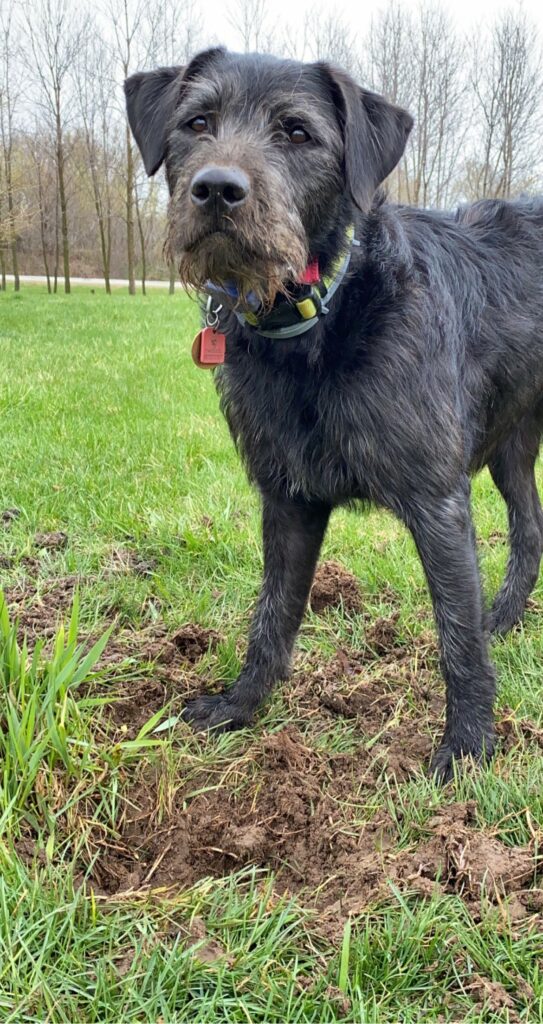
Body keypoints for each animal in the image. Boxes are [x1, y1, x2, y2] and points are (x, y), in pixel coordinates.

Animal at [124, 51, 540, 778]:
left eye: (297, 133)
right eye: (196, 122)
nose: (216, 189)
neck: (317, 318)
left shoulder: (437, 501)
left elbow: (457, 637)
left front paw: (466, 748)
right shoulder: (288, 499)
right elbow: (273, 614)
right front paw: (240, 706)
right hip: (509, 447)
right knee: (530, 529)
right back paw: (506, 618)